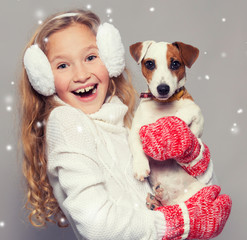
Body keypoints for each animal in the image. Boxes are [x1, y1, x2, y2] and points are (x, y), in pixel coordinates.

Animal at [128, 40, 206, 205]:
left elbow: (191, 114)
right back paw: (155, 200)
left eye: (175, 64)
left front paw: (173, 123)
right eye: (150, 64)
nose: (163, 88)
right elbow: (137, 148)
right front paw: (140, 167)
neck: (163, 105)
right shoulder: (136, 129)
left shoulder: (198, 118)